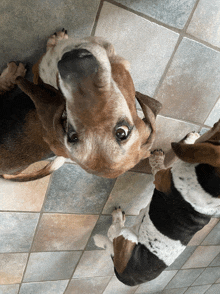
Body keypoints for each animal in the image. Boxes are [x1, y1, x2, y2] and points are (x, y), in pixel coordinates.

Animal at [94, 119, 220, 284]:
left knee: (112, 233)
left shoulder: (162, 176)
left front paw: (157, 156)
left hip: (127, 236)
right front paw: (192, 137)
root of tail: (121, 274)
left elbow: (158, 165)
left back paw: (116, 219)